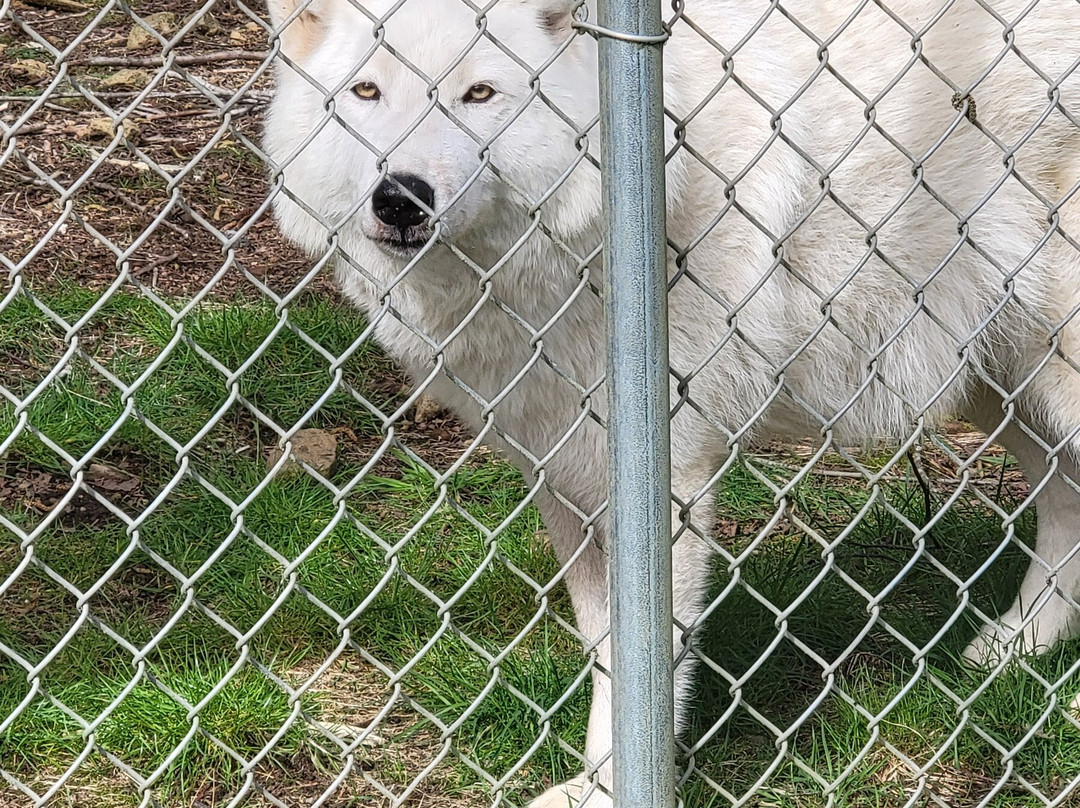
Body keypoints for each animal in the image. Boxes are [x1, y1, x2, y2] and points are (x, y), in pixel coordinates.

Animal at [264, 0, 1080, 803]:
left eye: (479, 94)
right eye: (366, 92)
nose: (400, 198)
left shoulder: (666, 477)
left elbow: (645, 657)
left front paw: (613, 785)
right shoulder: (562, 472)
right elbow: (605, 646)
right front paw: (593, 787)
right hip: (1006, 387)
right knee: (1065, 503)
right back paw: (1016, 648)